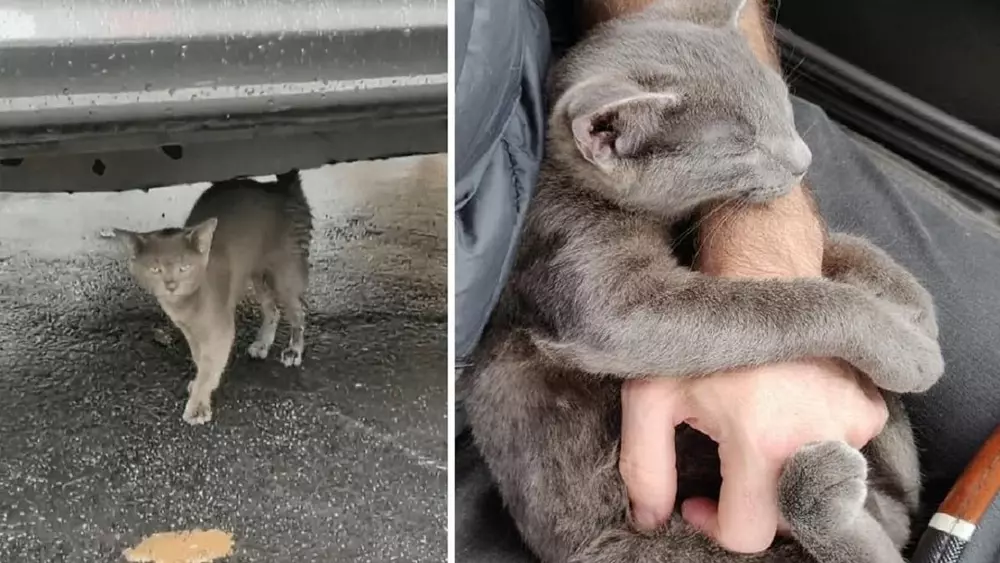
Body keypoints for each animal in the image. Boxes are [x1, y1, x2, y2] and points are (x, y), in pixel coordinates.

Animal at [112, 170, 312, 426]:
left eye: (184, 267)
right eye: (155, 269)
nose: (171, 285)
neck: (187, 304)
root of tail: (282, 189)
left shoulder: (221, 328)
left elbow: (210, 363)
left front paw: (198, 405)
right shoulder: (189, 330)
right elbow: (200, 357)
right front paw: (198, 385)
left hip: (285, 272)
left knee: (297, 311)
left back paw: (294, 350)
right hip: (256, 272)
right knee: (272, 310)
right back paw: (262, 343)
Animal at [460, 1, 944, 563]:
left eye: (782, 106)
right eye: (740, 147)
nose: (803, 161)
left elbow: (836, 246)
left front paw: (910, 301)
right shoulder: (590, 276)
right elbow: (782, 303)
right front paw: (904, 348)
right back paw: (820, 492)